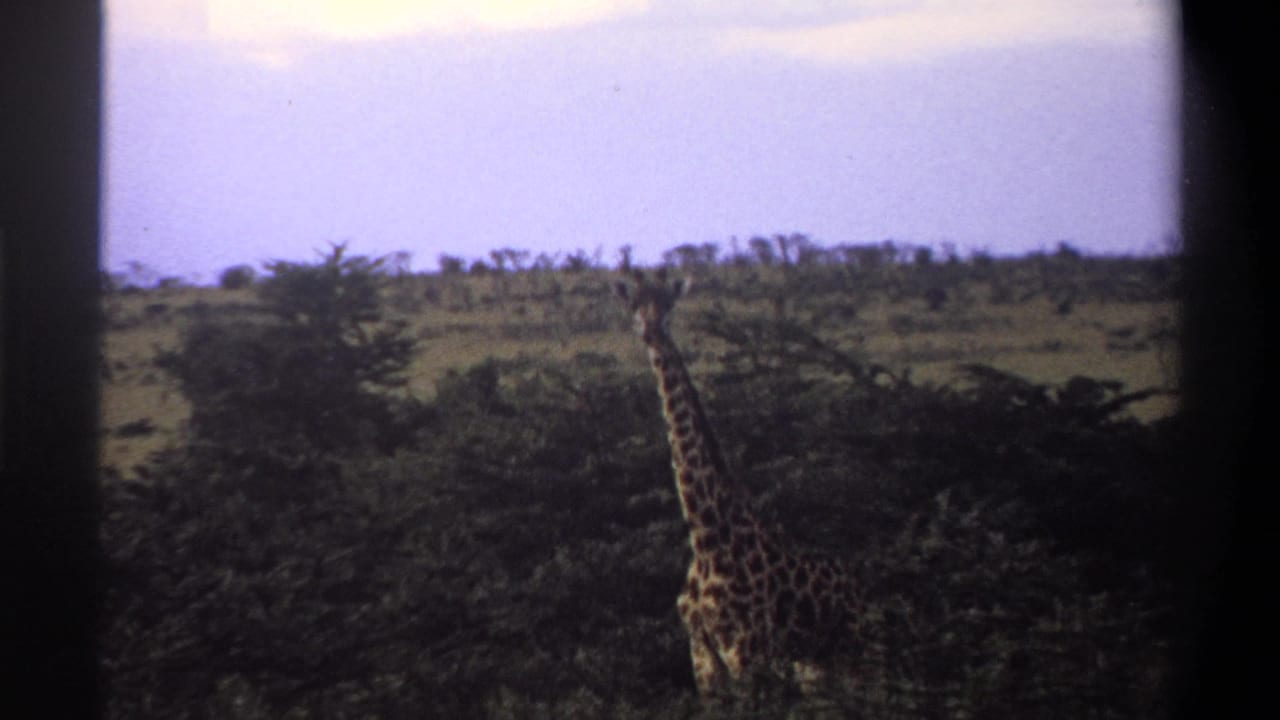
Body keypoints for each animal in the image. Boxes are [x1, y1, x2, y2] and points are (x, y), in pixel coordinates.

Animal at [614, 267, 864, 702]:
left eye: (668, 305)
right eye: (635, 306)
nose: (651, 331)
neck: (707, 537)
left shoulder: (746, 652)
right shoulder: (703, 658)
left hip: (857, 653)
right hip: (815, 668)